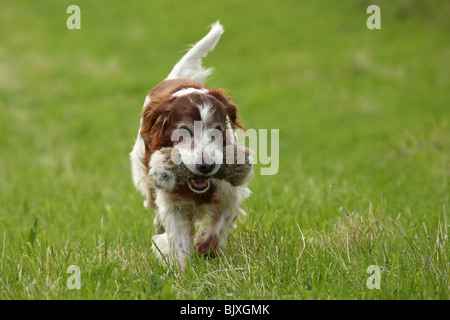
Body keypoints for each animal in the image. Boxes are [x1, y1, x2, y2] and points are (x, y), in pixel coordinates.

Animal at [130, 20, 253, 270]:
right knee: (151, 202)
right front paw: (183, 271)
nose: (206, 166)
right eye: (183, 132)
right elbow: (177, 241)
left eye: (217, 130)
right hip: (143, 175)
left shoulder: (230, 192)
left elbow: (221, 223)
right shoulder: (173, 203)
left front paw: (205, 245)